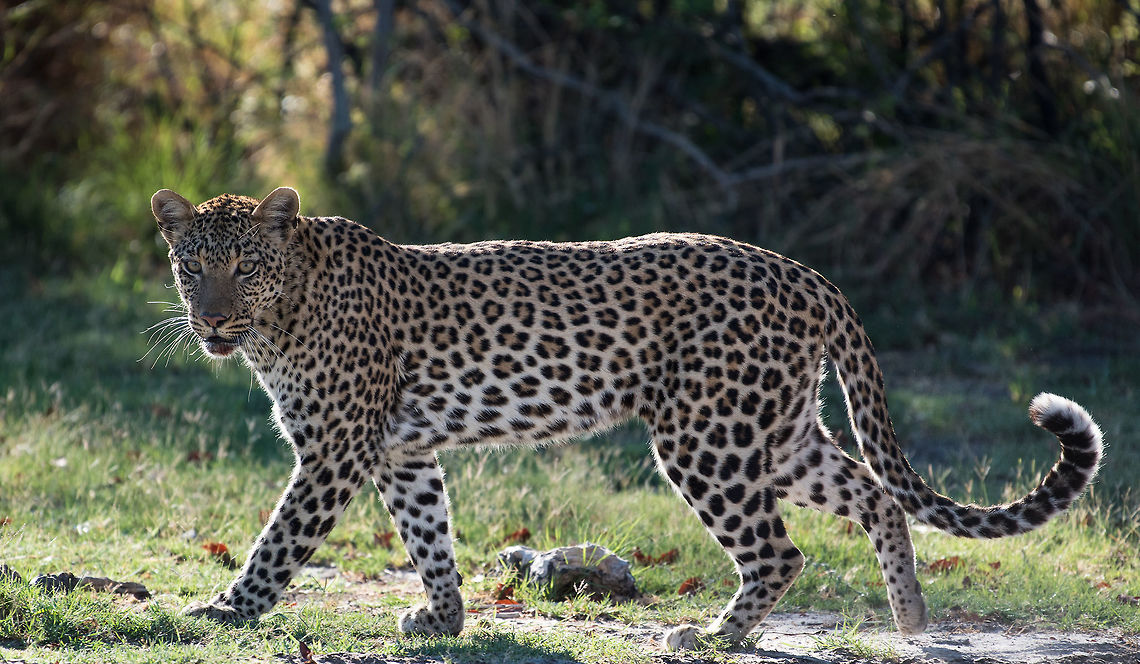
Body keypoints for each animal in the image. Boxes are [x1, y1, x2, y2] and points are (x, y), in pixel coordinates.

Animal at [151, 186, 1103, 651]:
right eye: (192, 266)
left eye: (244, 265)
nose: (211, 320)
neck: (285, 313)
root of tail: (806, 272)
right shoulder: (401, 452)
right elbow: (429, 535)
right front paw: (444, 619)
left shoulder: (335, 451)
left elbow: (279, 540)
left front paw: (226, 610)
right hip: (778, 433)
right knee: (874, 497)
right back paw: (912, 621)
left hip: (707, 437)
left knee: (780, 549)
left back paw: (713, 636)